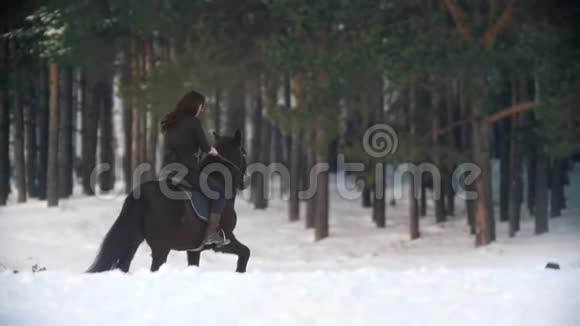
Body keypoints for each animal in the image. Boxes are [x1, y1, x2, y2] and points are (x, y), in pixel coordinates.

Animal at [86, 131, 249, 274]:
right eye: (243, 153)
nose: (243, 183)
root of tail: (142, 195)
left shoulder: (194, 250)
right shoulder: (225, 240)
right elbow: (245, 252)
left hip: (134, 240)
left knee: (124, 265)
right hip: (161, 248)